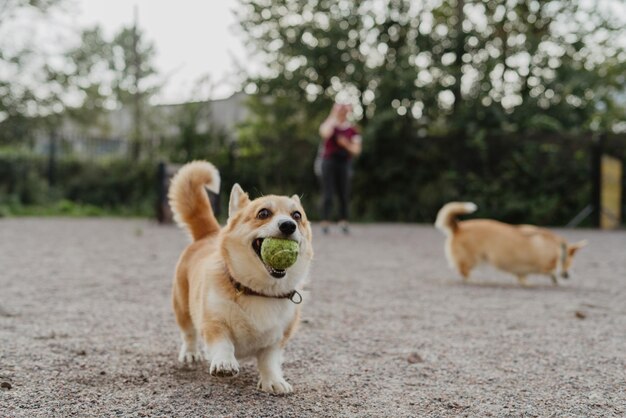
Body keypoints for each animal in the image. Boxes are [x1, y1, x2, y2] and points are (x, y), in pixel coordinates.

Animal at [167, 160, 312, 392]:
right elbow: (223, 343)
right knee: (188, 333)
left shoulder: (278, 338)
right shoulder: (214, 322)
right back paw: (190, 354)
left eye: (297, 216)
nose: (288, 225)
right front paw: (224, 363)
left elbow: (269, 360)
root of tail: (209, 234)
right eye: (263, 213)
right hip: (182, 306)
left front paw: (273, 381)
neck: (259, 291)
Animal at [434, 202, 584, 286]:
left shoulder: (522, 270)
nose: (568, 275)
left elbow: (524, 277)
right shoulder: (544, 266)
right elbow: (552, 272)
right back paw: (473, 280)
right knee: (464, 271)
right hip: (473, 258)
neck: (556, 249)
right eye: (569, 263)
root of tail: (458, 227)